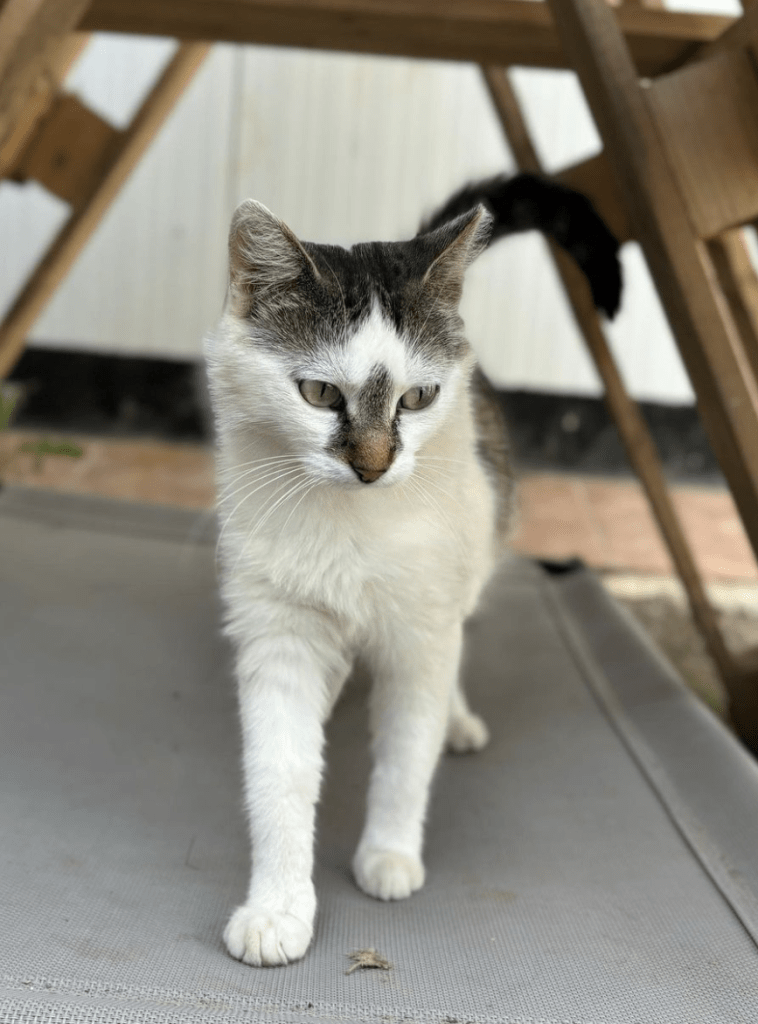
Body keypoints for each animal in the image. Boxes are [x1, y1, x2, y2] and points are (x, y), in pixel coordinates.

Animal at [202, 169, 622, 966]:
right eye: (319, 393)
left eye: (419, 397)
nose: (373, 466)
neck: (352, 526)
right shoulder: (280, 635)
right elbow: (279, 771)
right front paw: (277, 909)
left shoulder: (420, 636)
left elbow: (406, 753)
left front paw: (389, 855)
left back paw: (456, 723)